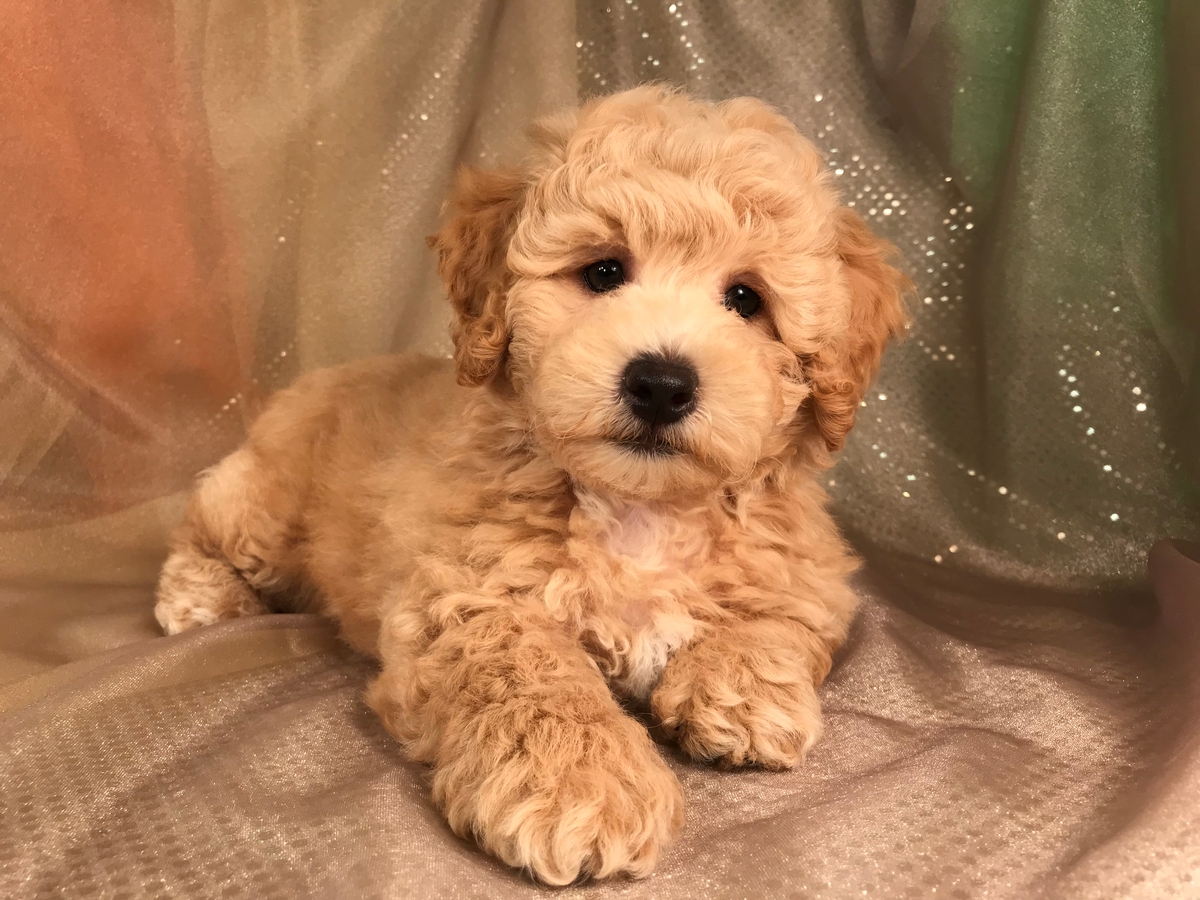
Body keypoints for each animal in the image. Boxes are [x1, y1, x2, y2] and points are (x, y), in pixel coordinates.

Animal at [157, 86, 907, 888]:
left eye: (746, 298)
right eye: (603, 273)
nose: (661, 383)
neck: (639, 511)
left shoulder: (801, 569)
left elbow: (776, 618)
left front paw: (741, 692)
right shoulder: (467, 595)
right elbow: (529, 673)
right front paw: (581, 785)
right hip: (268, 502)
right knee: (206, 519)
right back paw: (200, 597)